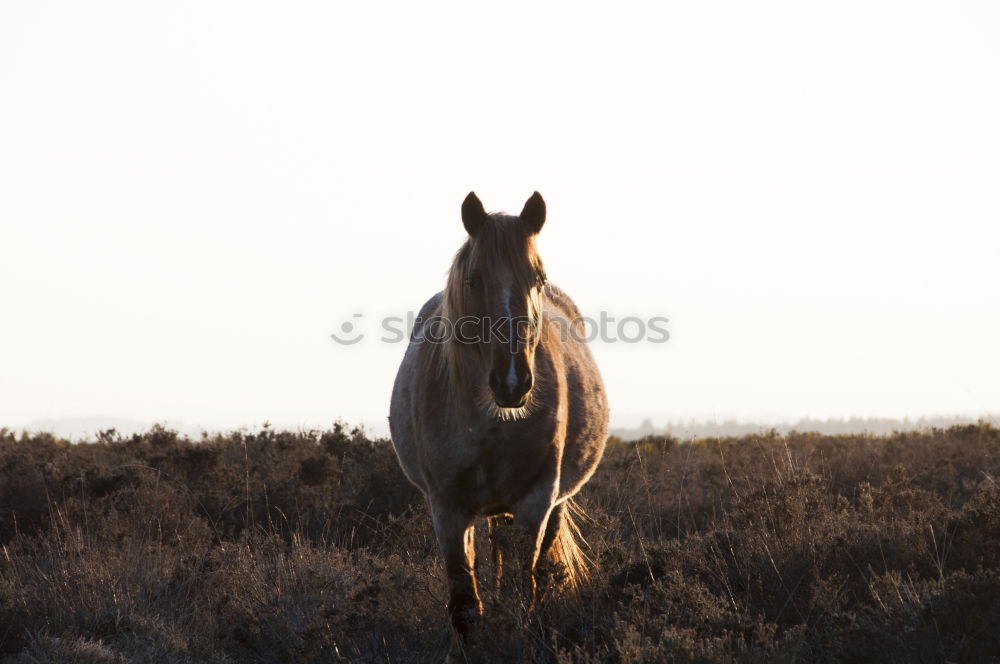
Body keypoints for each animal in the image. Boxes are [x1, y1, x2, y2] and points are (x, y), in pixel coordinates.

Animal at [388, 191, 608, 648]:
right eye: (474, 280)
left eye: (537, 278)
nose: (513, 381)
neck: (490, 423)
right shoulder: (447, 508)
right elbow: (465, 605)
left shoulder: (535, 501)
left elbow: (525, 591)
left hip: (549, 504)